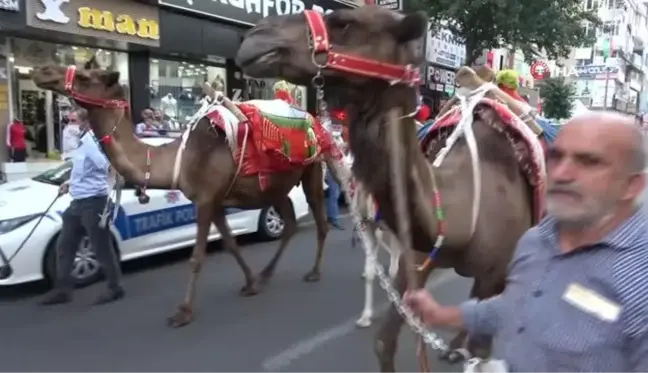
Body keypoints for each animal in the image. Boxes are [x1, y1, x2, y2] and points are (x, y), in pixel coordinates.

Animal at [31, 57, 340, 326]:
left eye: (85, 77)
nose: (42, 71)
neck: (179, 159)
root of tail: (314, 122)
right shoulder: (214, 202)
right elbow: (230, 244)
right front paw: (251, 283)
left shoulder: (204, 200)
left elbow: (196, 257)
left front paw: (182, 313)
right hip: (275, 186)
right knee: (290, 222)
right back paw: (266, 275)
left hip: (312, 169)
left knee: (320, 220)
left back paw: (314, 272)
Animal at [235, 7, 544, 370]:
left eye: (345, 22)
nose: (255, 37)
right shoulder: (418, 257)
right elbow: (384, 341)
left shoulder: (496, 271)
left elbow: (482, 350)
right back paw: (454, 346)